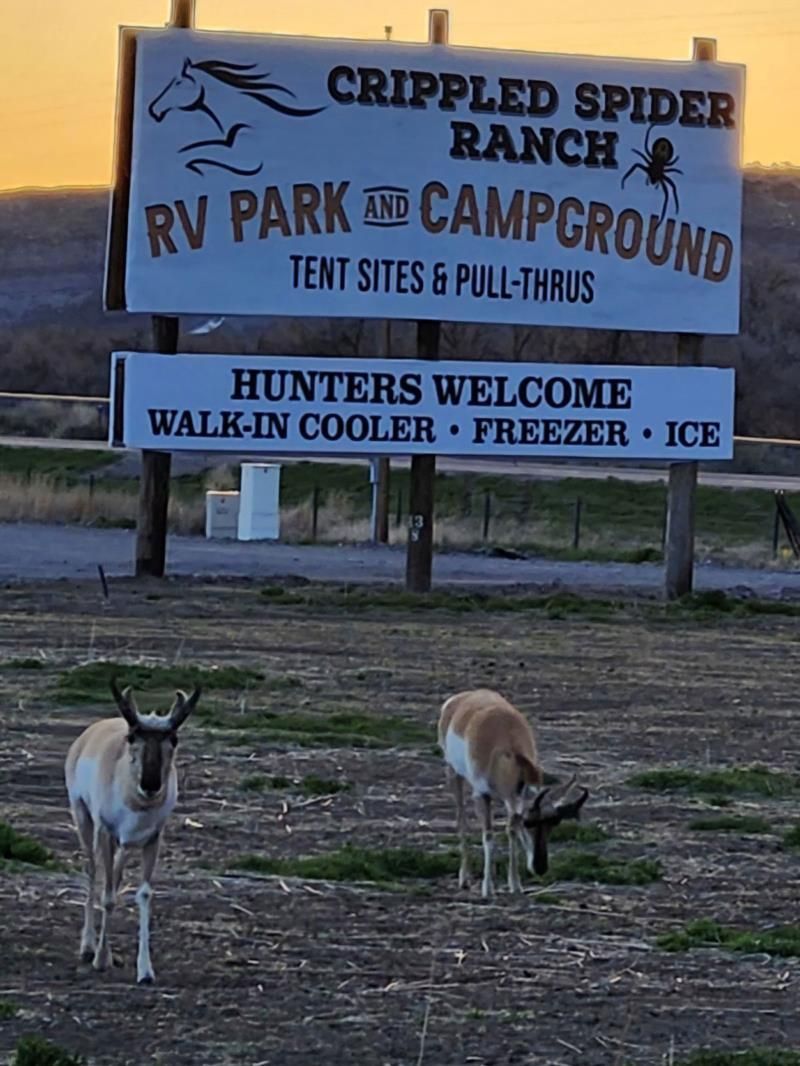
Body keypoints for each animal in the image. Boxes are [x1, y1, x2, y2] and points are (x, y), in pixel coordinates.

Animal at [64, 678, 201, 984]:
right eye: (131, 737)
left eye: (173, 739)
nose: (150, 785)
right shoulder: (106, 832)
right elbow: (107, 896)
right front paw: (101, 958)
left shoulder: (153, 840)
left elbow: (144, 894)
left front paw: (145, 970)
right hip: (84, 822)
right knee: (93, 873)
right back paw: (87, 946)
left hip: (125, 846)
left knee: (113, 874)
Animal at [438, 688, 588, 898]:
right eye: (529, 823)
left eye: (553, 823)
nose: (540, 868)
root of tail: (459, 698)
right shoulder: (482, 795)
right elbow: (488, 836)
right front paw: (487, 888)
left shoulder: (514, 800)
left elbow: (511, 832)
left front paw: (515, 885)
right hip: (453, 774)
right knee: (462, 821)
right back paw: (465, 879)